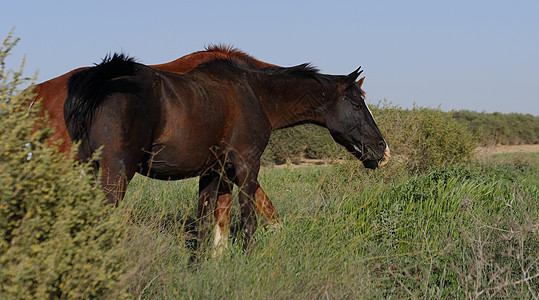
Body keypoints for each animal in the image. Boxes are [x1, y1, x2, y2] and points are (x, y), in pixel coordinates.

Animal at [65, 53, 390, 251]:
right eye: (357, 103)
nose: (381, 148)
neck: (255, 94)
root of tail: (100, 80)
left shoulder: (213, 172)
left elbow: (206, 223)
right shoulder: (246, 166)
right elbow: (248, 218)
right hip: (115, 174)